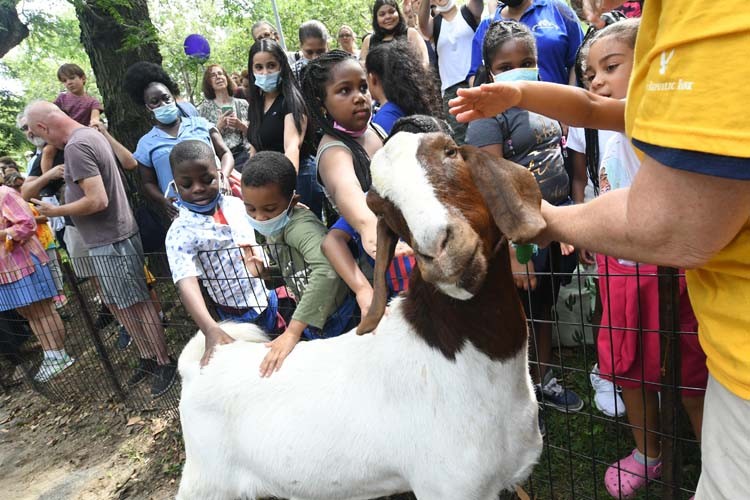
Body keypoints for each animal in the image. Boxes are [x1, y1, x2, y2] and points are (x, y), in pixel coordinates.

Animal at [176, 131, 548, 498]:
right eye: (381, 207)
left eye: (451, 151)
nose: (440, 250)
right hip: (206, 482)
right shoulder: (447, 487)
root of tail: (201, 365)